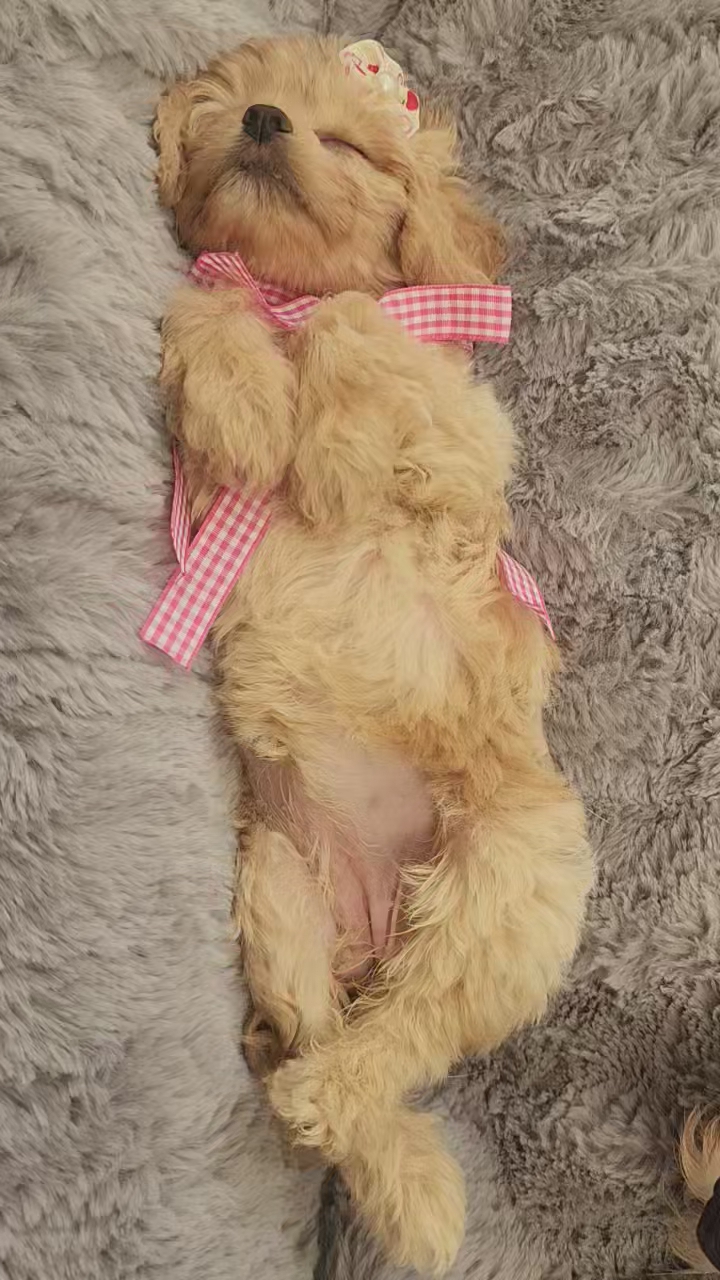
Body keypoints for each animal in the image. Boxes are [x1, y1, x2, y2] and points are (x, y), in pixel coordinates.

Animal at [153, 34, 593, 1274]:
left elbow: (359, 324)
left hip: (511, 881)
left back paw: (391, 1168)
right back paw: (360, 1138)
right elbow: (212, 298)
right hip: (276, 886)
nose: (263, 121)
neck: (291, 292)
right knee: (324, 1027)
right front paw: (253, 401)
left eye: (348, 143)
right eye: (235, 104)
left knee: (403, 1036)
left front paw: (331, 439)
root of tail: (373, 931)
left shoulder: (462, 445)